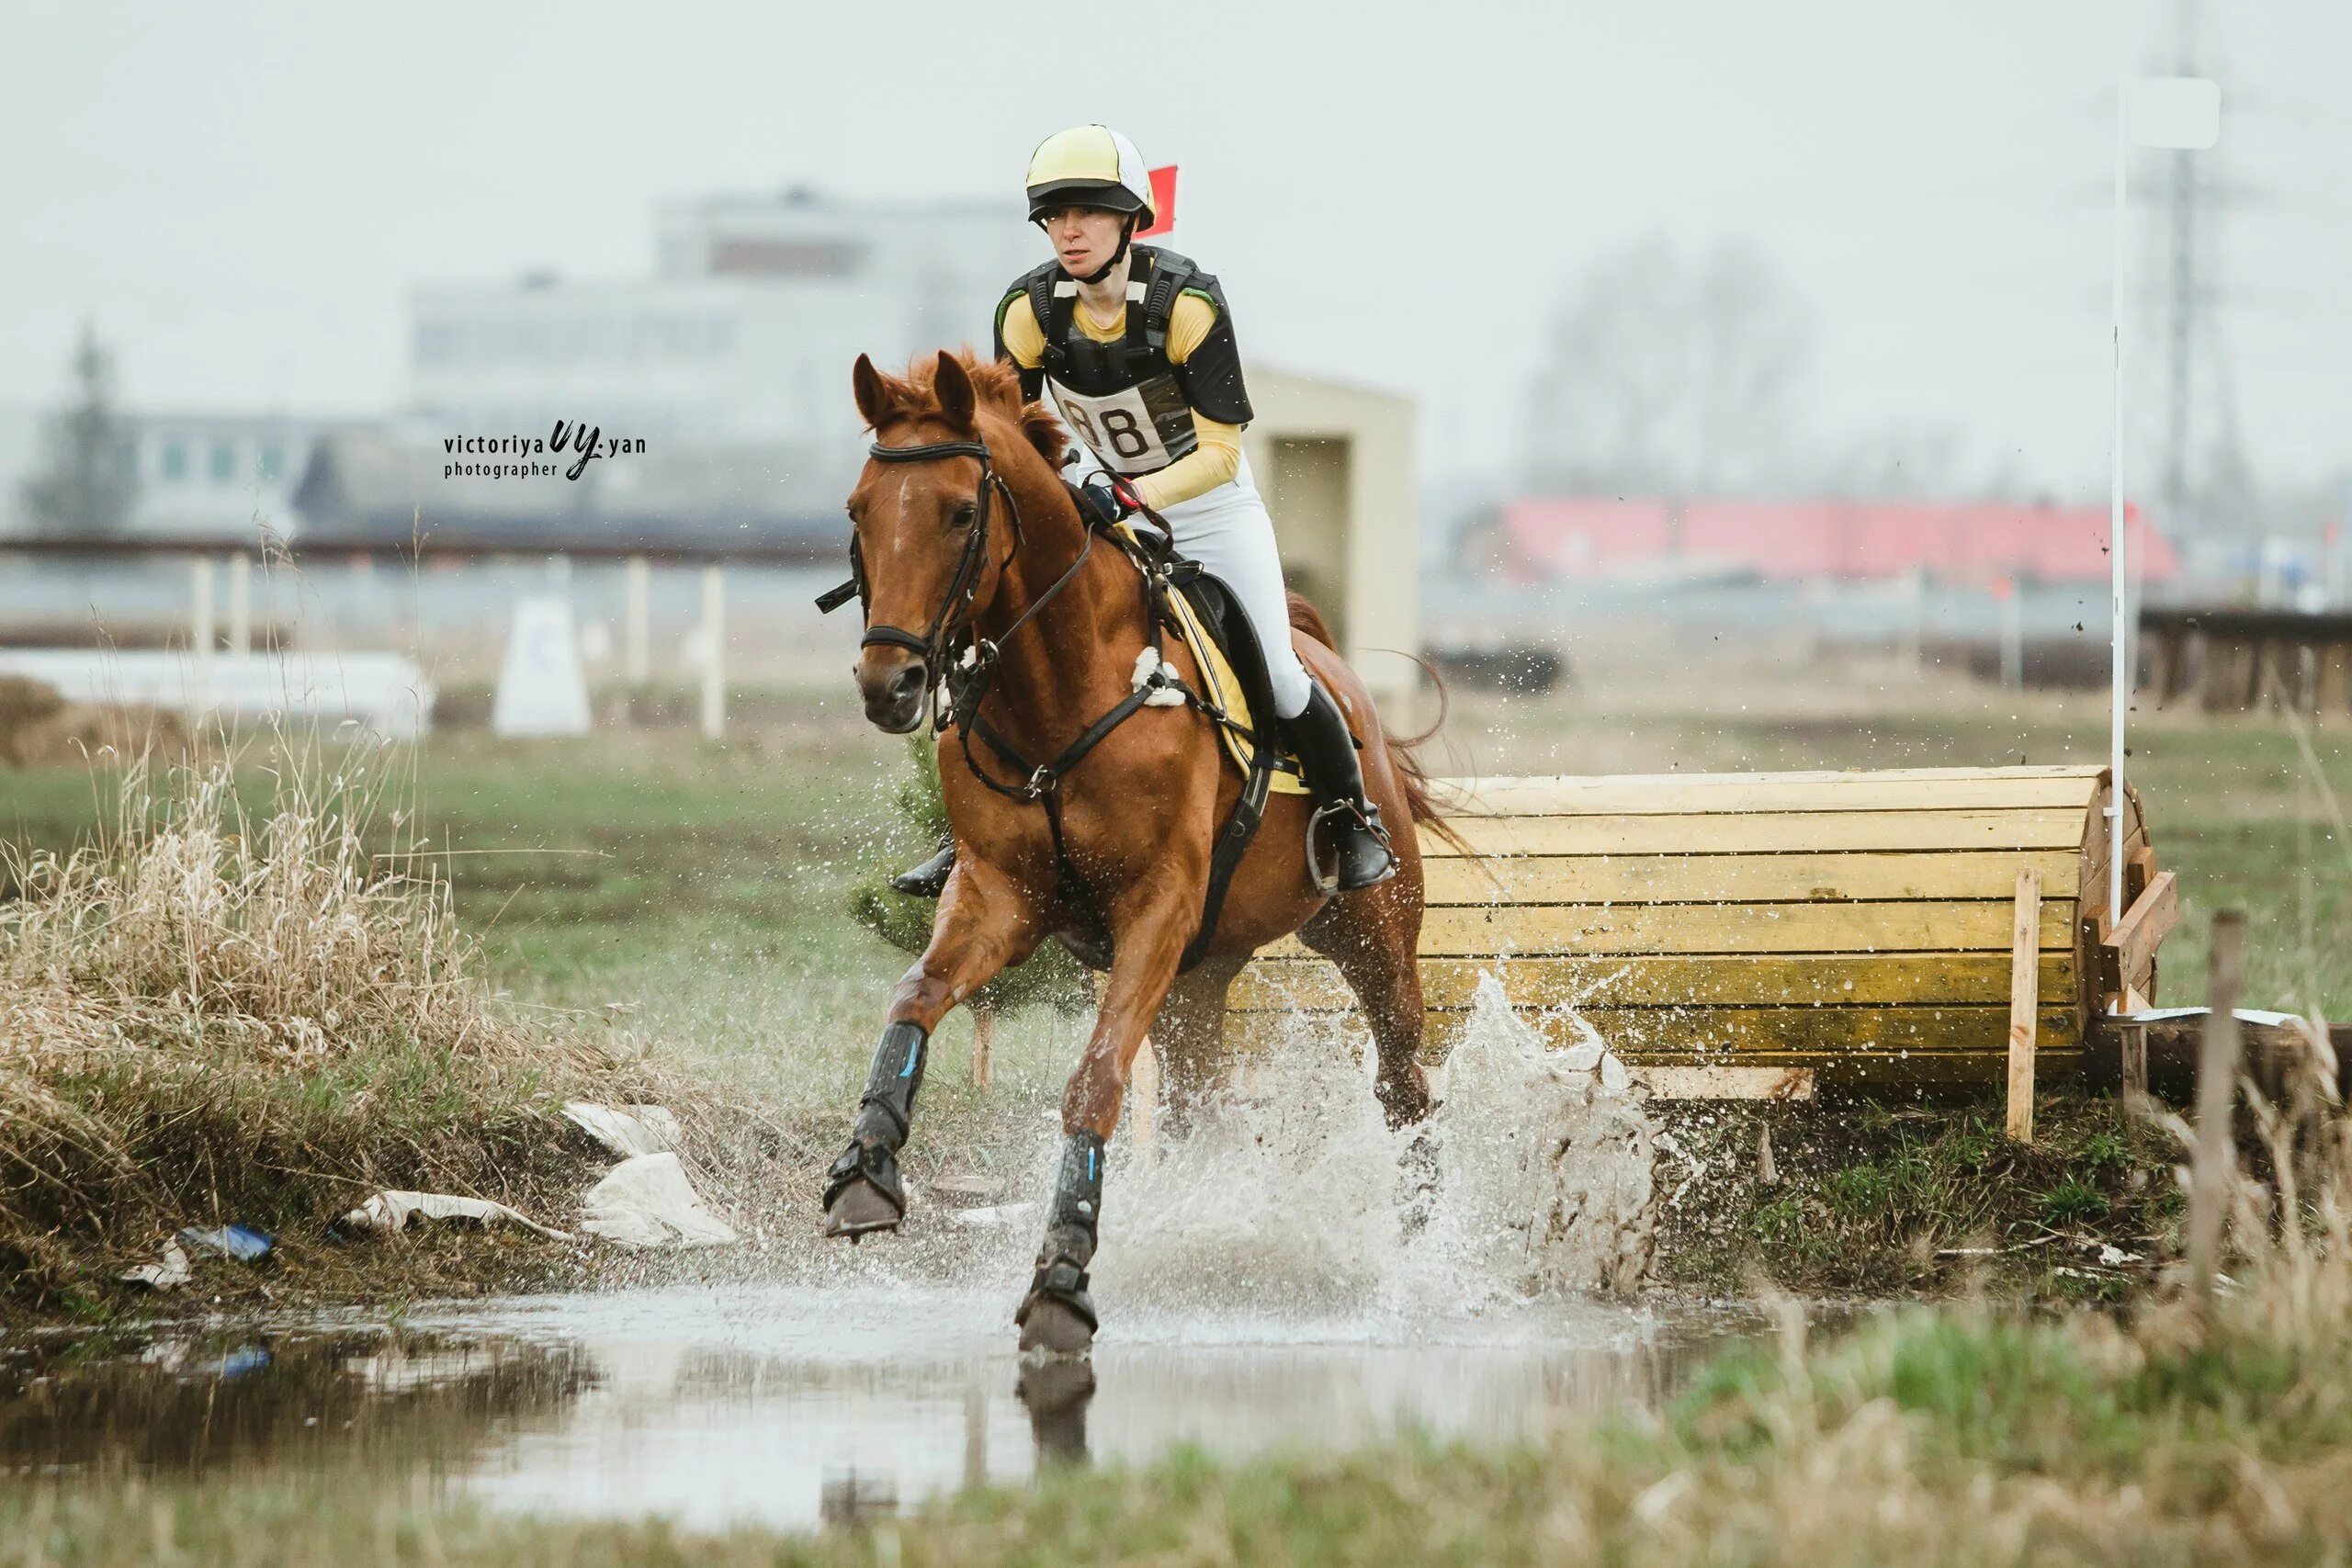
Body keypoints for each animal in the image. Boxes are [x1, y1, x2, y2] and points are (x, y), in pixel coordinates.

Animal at [828, 350, 1448, 1354]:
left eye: (961, 511)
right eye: (859, 510)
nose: (892, 684)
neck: (1058, 690)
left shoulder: (1155, 906)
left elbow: (1094, 1084)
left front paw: (1062, 1276)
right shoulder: (1000, 896)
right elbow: (915, 996)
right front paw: (865, 1171)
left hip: (1372, 937)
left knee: (1403, 1087)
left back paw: (1421, 1251)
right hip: (1200, 978)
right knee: (1200, 1103)